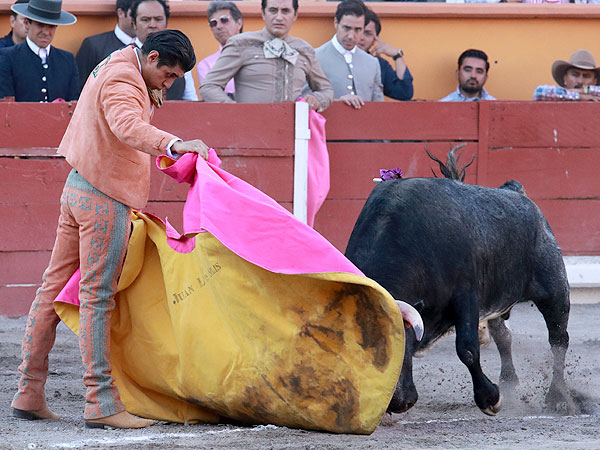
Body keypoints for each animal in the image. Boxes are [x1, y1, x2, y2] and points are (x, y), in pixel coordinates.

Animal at [342, 173, 572, 414]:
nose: (396, 401)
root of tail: (515, 192)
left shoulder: (466, 296)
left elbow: (467, 349)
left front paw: (490, 398)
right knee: (504, 336)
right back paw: (509, 383)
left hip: (554, 291)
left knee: (558, 340)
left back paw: (557, 398)